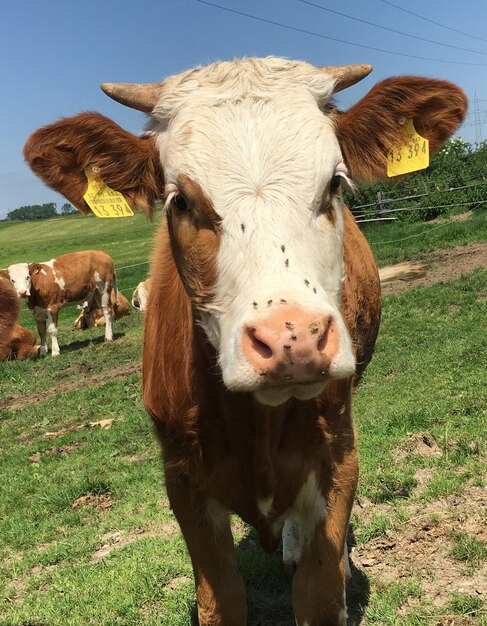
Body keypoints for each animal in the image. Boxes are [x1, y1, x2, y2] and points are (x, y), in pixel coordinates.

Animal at [24, 58, 468, 624]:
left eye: (335, 184)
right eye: (180, 201)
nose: (293, 339)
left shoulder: (338, 455)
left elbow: (320, 593)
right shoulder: (182, 480)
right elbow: (222, 601)